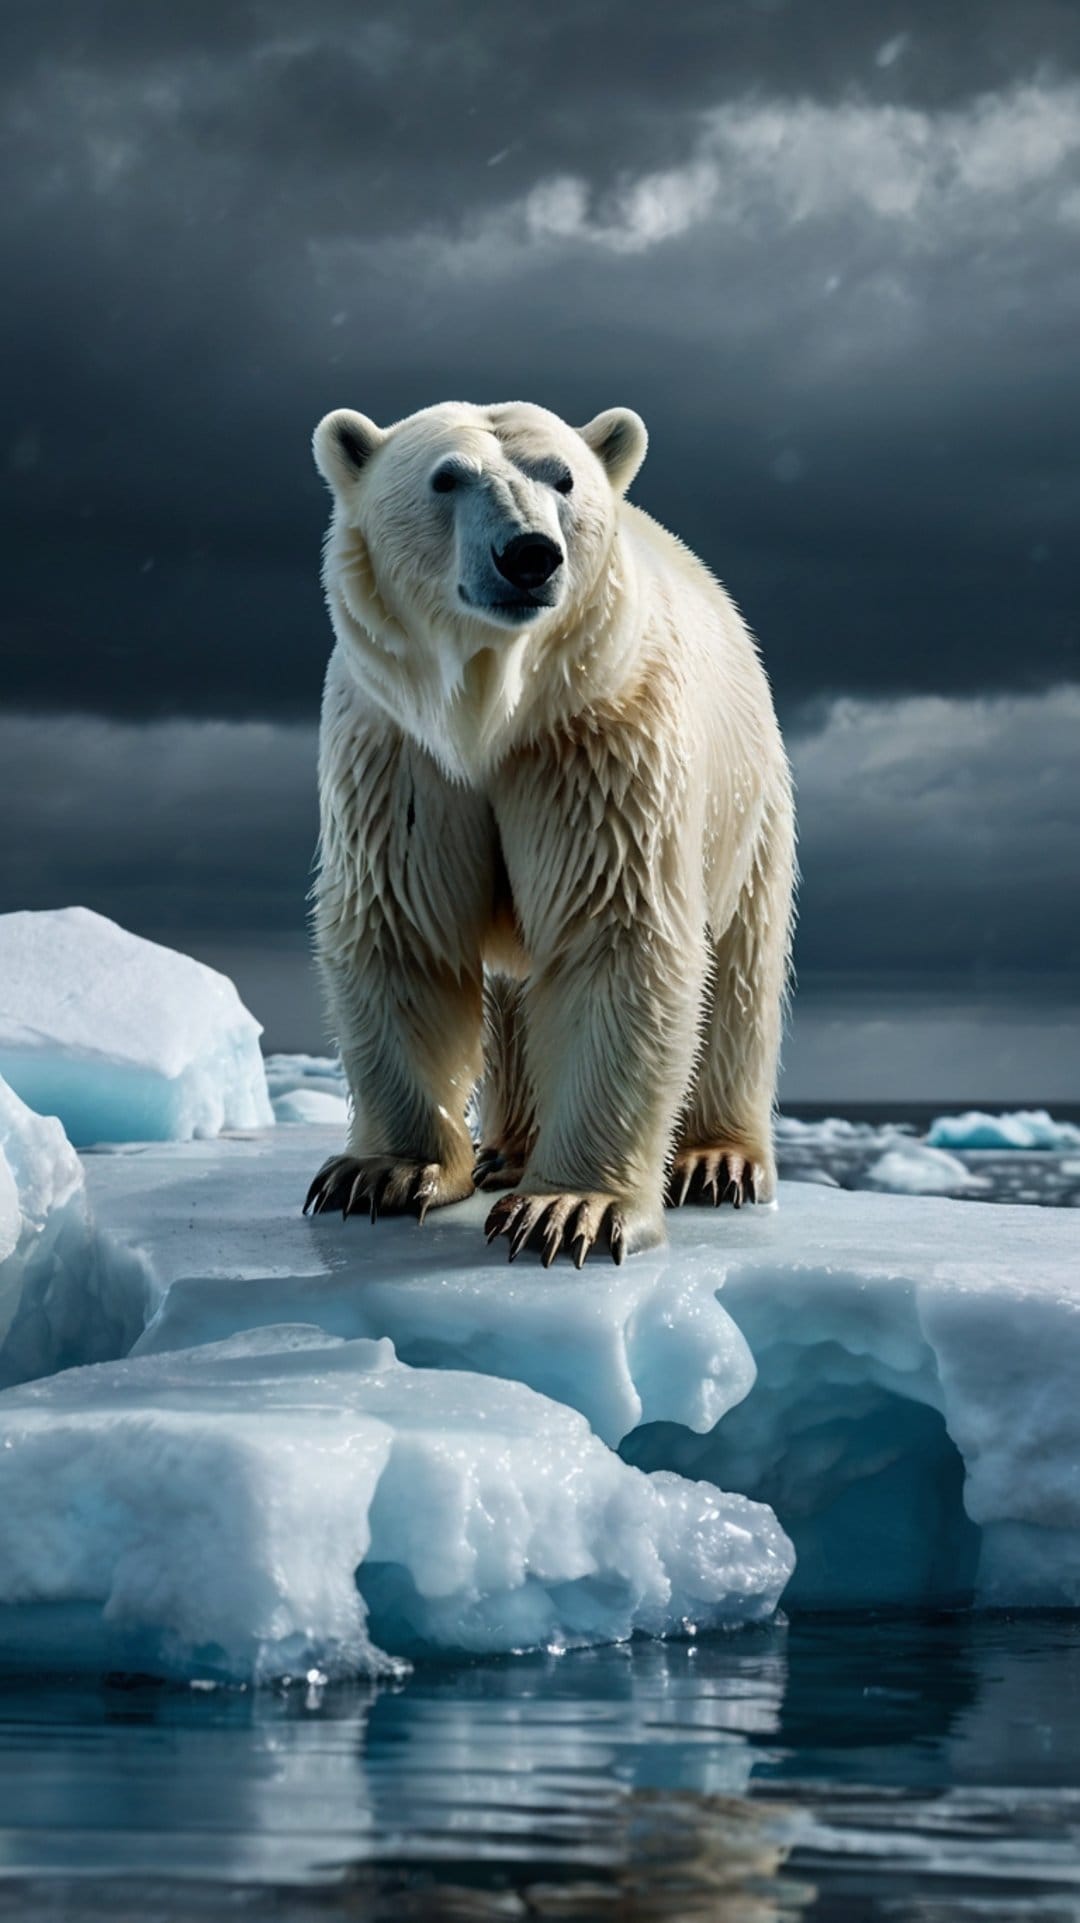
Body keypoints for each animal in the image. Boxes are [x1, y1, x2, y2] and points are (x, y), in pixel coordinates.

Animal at [304, 399, 796, 1266]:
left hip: (748, 800)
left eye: (562, 477)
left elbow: (615, 931)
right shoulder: (401, 754)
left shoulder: (597, 743)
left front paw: (570, 1209)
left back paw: (718, 1159)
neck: (491, 713)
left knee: (742, 966)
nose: (529, 554)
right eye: (446, 477)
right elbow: (403, 923)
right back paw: (507, 1149)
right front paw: (382, 1174)